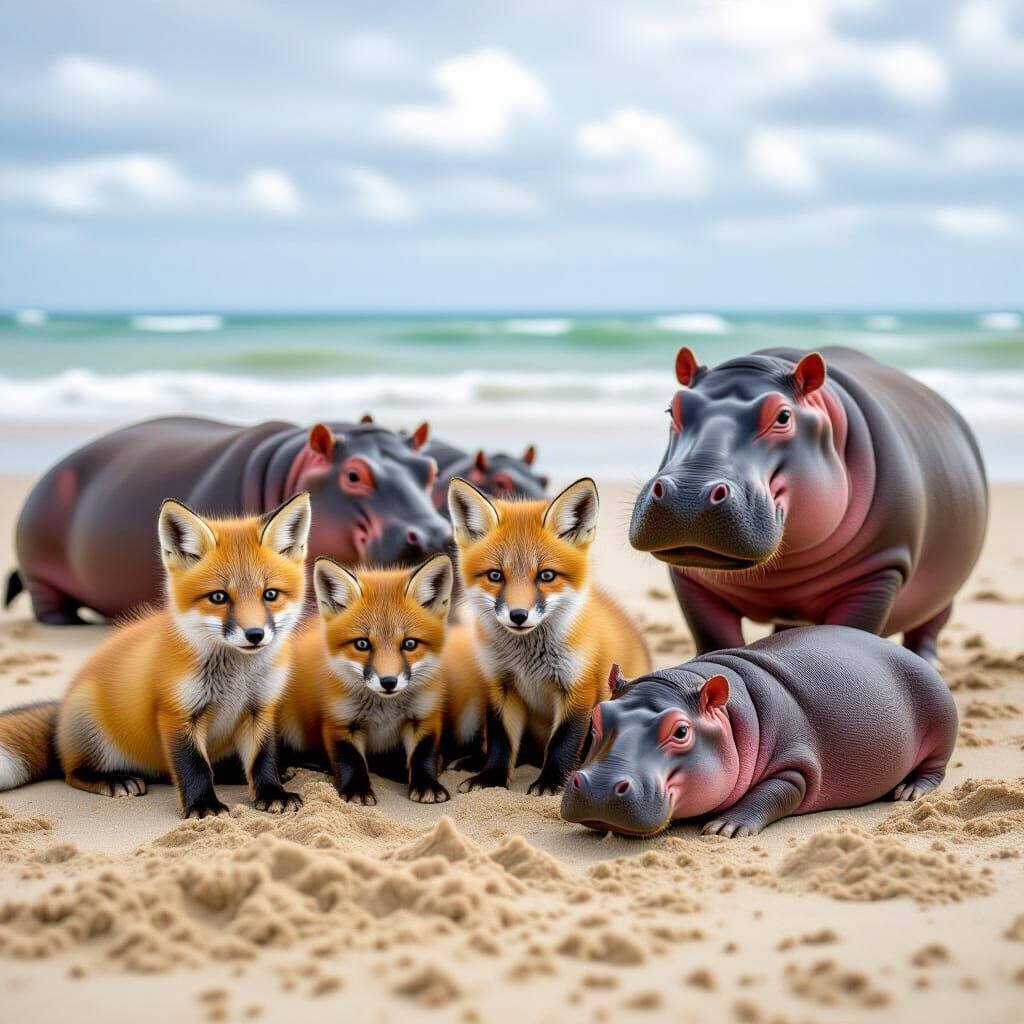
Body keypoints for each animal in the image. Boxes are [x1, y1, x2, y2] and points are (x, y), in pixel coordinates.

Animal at [0, 494, 311, 819]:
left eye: (270, 595)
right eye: (218, 597)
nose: (255, 634)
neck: (236, 681)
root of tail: (59, 717)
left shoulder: (259, 708)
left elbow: (262, 760)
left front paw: (272, 792)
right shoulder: (175, 713)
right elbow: (195, 768)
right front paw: (204, 805)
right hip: (92, 734)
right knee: (73, 772)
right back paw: (112, 779)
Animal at [277, 553, 455, 805]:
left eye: (410, 644)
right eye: (362, 644)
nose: (388, 682)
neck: (385, 711)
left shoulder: (425, 717)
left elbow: (424, 755)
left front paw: (427, 784)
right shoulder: (340, 722)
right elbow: (350, 761)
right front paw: (356, 790)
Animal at [447, 476, 650, 796]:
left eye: (546, 576)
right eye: (495, 576)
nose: (518, 615)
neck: (528, 661)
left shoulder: (578, 688)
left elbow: (562, 743)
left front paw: (551, 782)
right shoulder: (500, 685)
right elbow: (501, 741)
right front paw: (491, 778)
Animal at [562, 626, 958, 837]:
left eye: (681, 731)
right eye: (598, 717)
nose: (598, 787)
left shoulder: (796, 768)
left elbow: (773, 793)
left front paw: (725, 828)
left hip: (942, 724)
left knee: (935, 767)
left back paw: (908, 791)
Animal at [630, 346, 988, 661]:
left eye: (783, 416)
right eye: (672, 408)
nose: (687, 495)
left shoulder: (879, 572)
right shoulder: (691, 579)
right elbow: (714, 637)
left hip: (945, 588)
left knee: (930, 624)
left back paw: (928, 660)